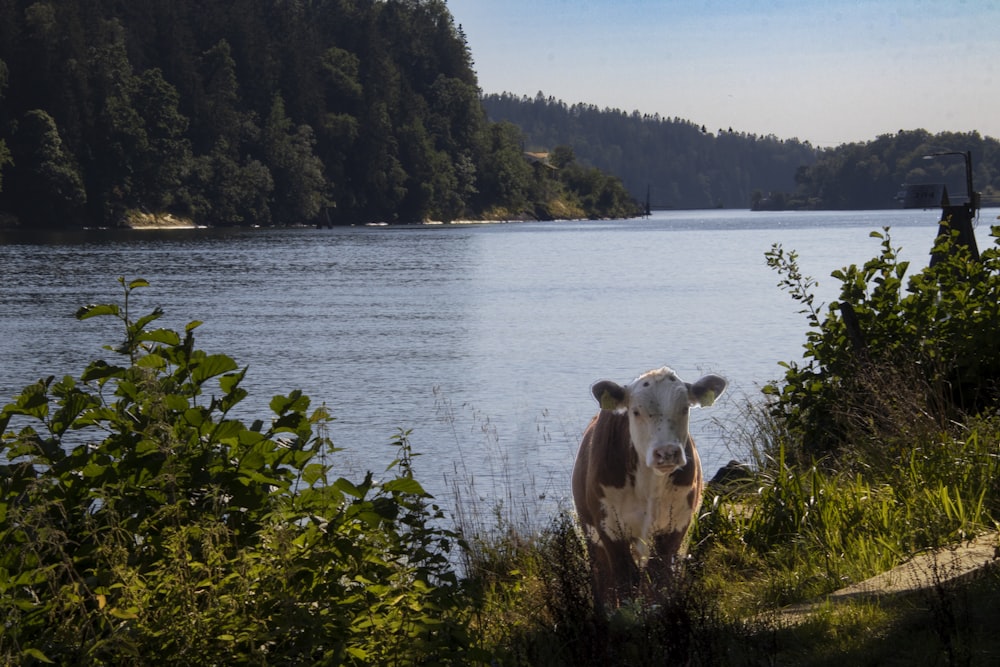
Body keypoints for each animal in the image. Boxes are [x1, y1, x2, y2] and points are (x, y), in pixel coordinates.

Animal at [572, 368, 728, 608]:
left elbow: (658, 578)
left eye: (684, 408)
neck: (649, 486)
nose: (667, 452)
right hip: (591, 534)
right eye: (636, 412)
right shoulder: (610, 528)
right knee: (602, 579)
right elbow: (623, 581)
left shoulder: (676, 525)